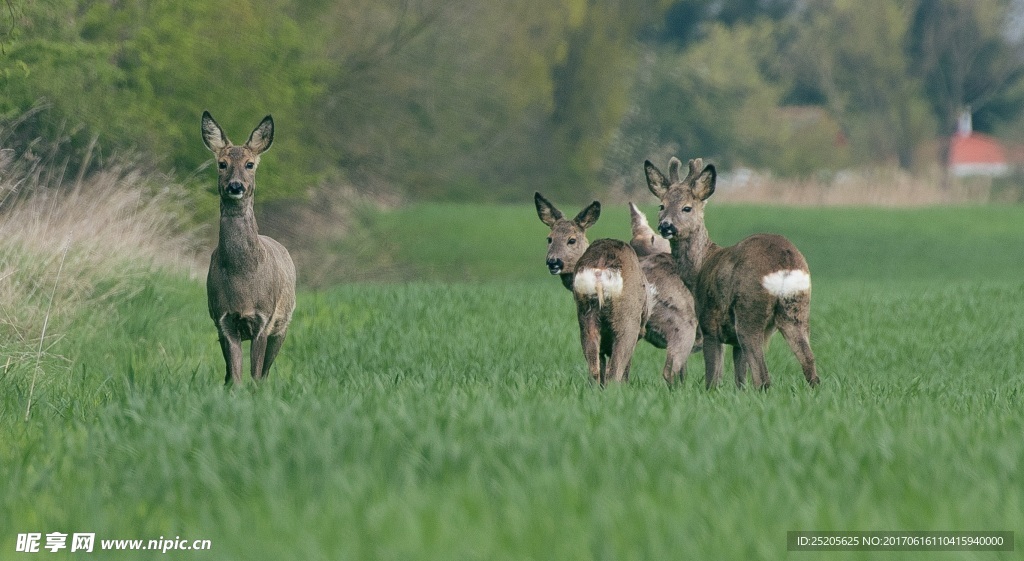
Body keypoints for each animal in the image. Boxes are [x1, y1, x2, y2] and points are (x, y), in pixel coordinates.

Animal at [199, 111, 296, 386]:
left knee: (265, 372)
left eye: (250, 164)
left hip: (282, 325)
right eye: (222, 163)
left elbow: (255, 376)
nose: (235, 186)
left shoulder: (264, 319)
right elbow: (235, 378)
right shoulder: (223, 320)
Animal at [536, 195, 696, 382]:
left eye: (571, 240)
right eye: (549, 239)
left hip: (586, 317)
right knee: (618, 373)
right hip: (630, 320)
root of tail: (601, 270)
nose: (553, 262)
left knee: (594, 370)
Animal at [643, 155, 819, 386]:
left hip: (749, 312)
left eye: (687, 208)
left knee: (763, 377)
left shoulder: (709, 324)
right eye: (661, 205)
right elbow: (739, 382)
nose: (666, 226)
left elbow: (713, 379)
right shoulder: (733, 341)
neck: (699, 268)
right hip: (797, 311)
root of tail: (785, 264)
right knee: (810, 366)